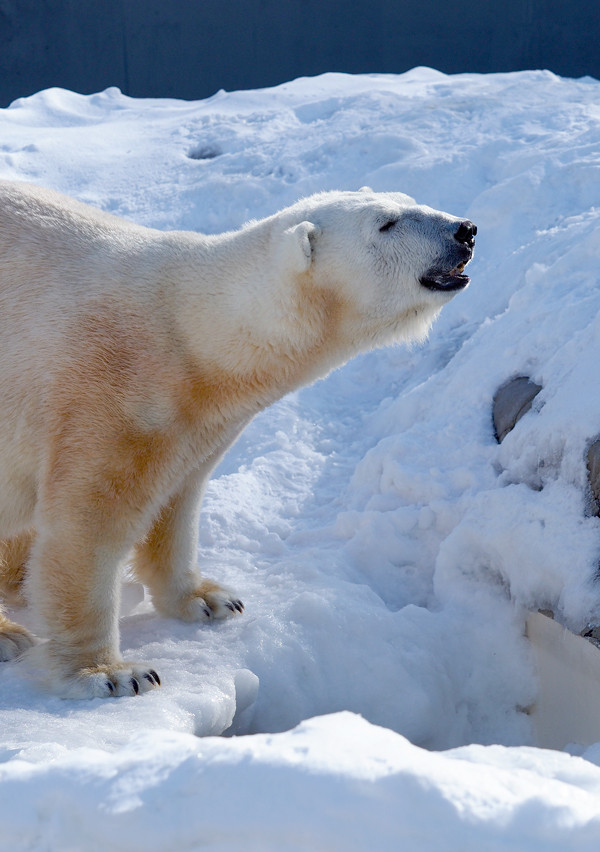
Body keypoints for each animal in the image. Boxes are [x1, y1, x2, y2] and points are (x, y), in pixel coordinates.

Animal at [1, 181, 478, 700]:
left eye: (409, 200)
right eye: (386, 223)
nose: (465, 230)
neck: (193, 331)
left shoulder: (198, 423)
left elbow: (178, 502)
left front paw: (211, 598)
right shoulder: (109, 393)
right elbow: (85, 526)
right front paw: (112, 673)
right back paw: (10, 633)